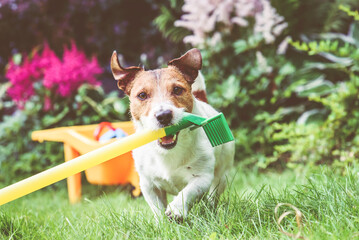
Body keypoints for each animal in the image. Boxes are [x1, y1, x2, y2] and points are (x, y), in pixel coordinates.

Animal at [111, 48, 235, 221]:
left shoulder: (202, 177)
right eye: (142, 95)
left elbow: (189, 191)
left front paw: (177, 208)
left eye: (177, 90)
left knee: (213, 196)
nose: (163, 116)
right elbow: (157, 209)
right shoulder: (148, 185)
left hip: (222, 176)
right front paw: (162, 224)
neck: (168, 153)